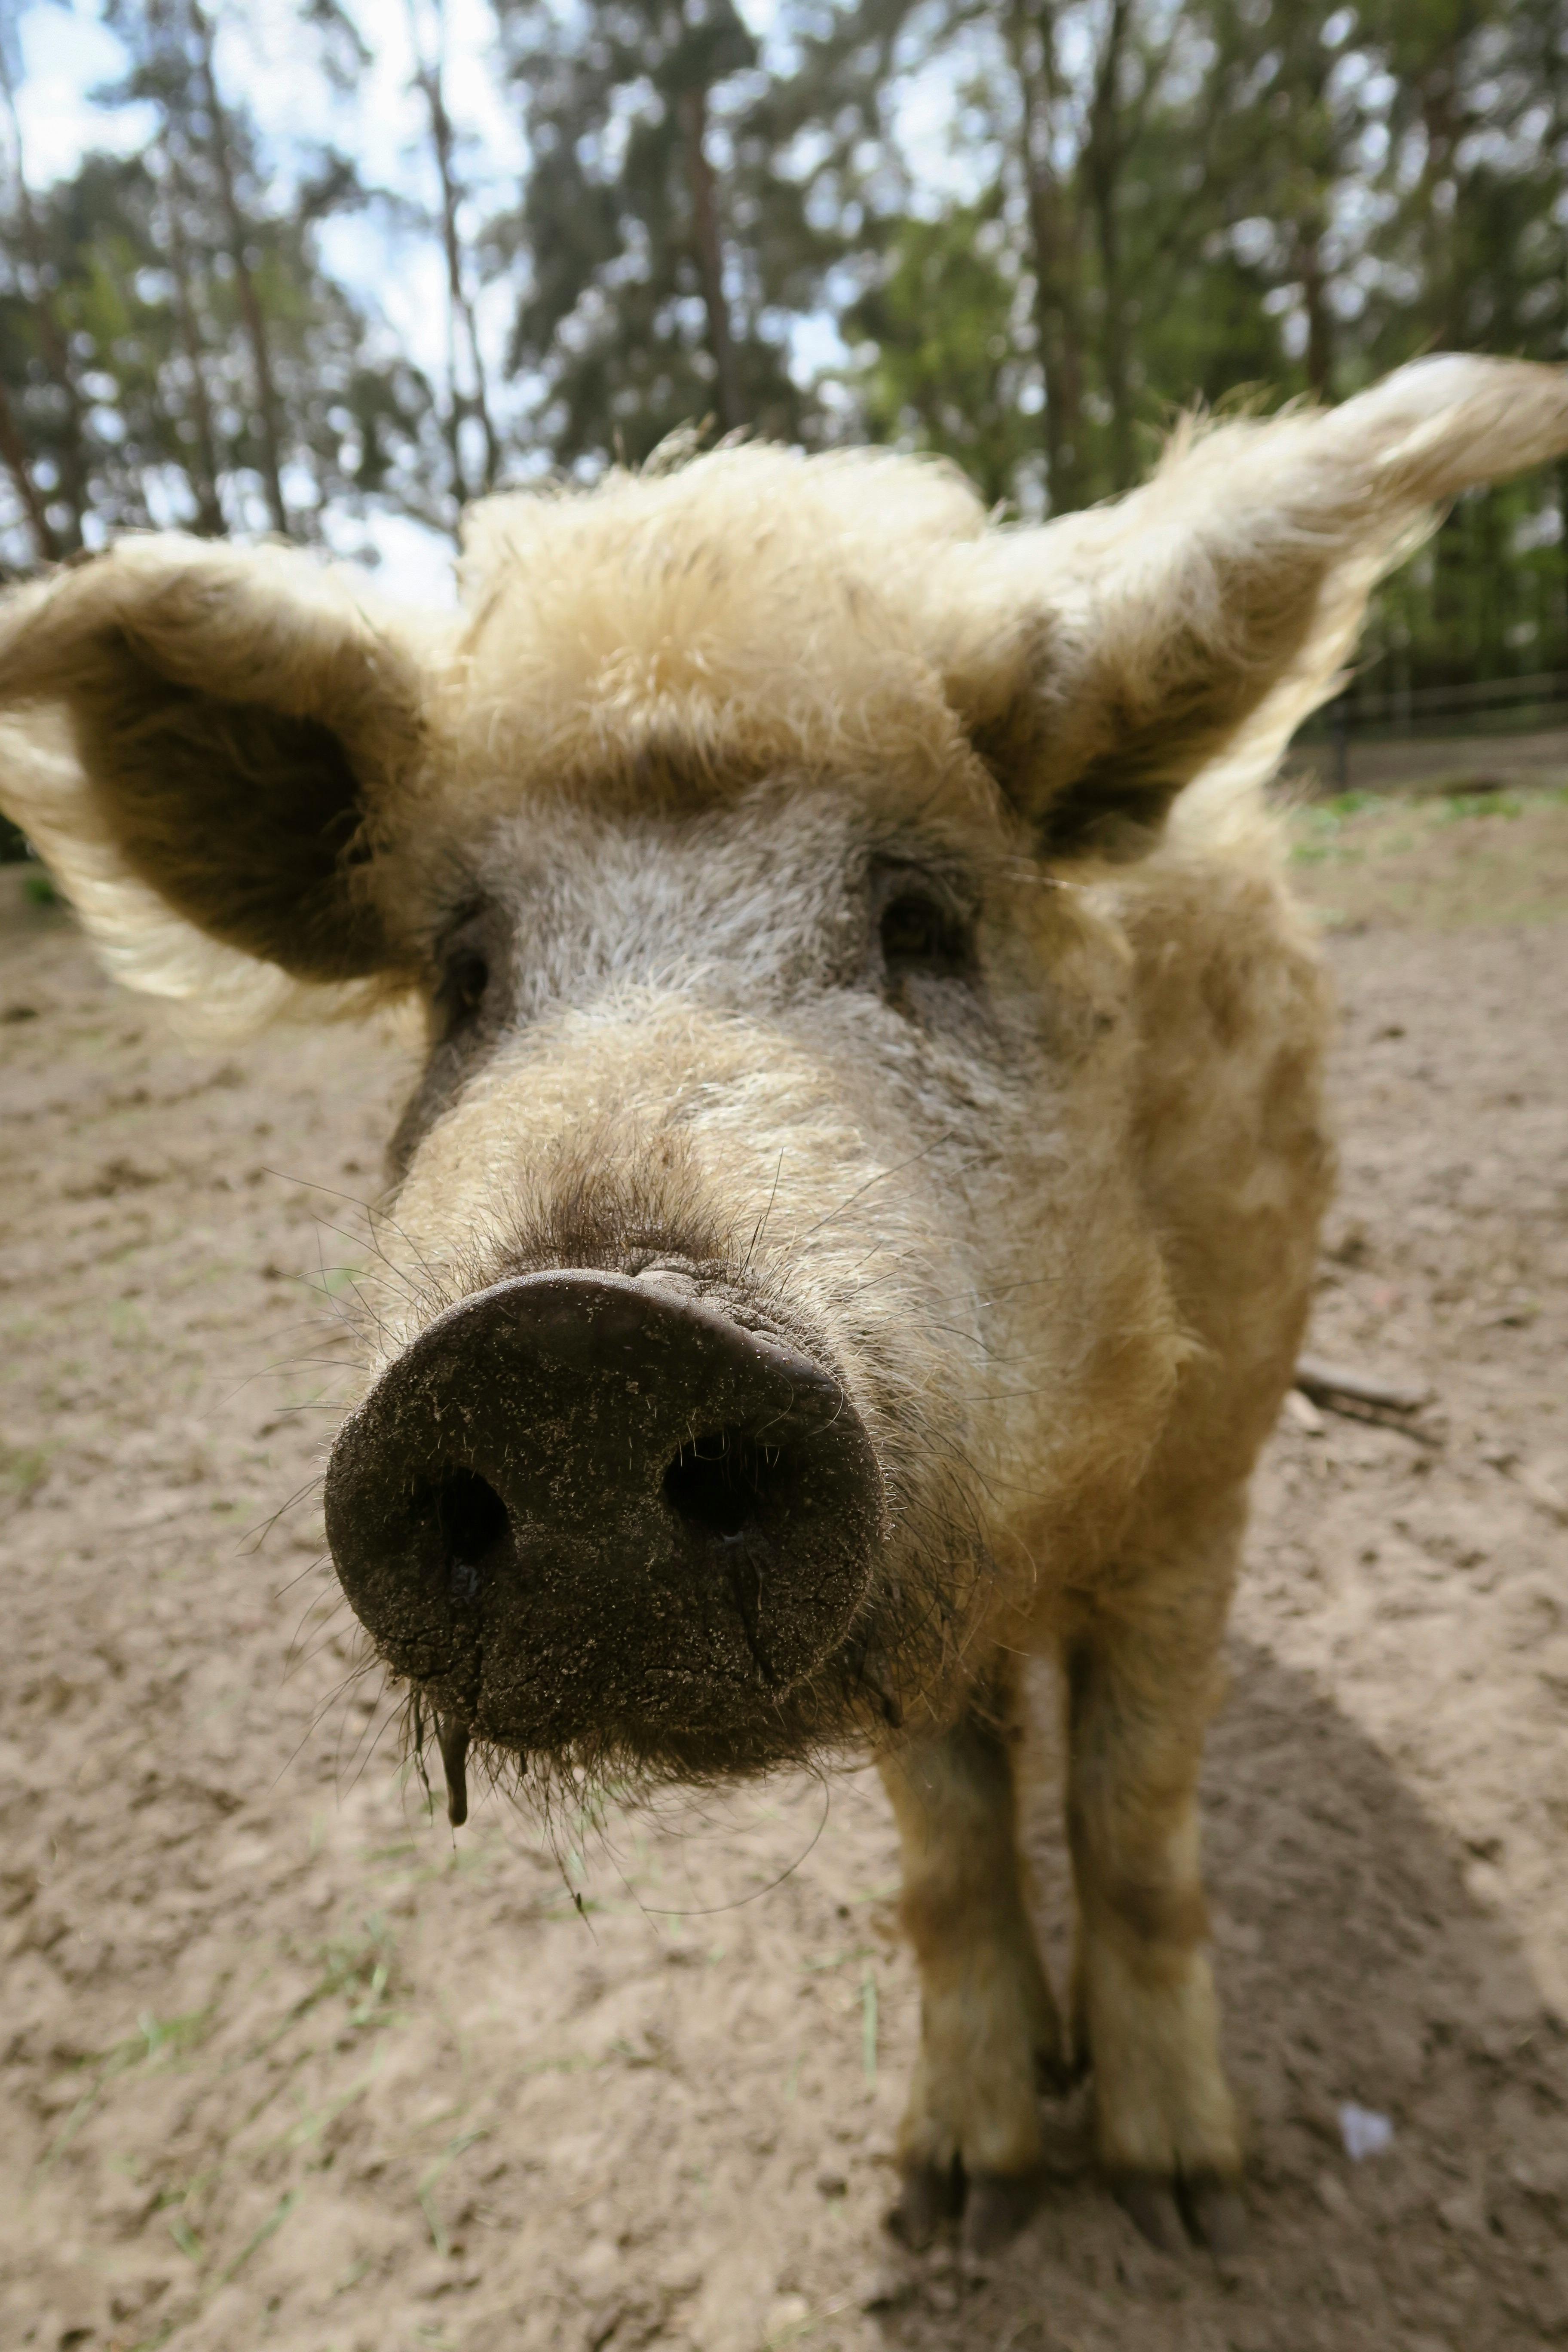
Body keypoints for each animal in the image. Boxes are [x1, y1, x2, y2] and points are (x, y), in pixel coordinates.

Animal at [3, 352, 1568, 2258]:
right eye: (464, 976)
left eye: (920, 920)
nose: (571, 1342)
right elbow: (950, 1843)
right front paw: (956, 2203)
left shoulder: (1203, 1488)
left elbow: (1130, 1819)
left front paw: (1185, 2205)